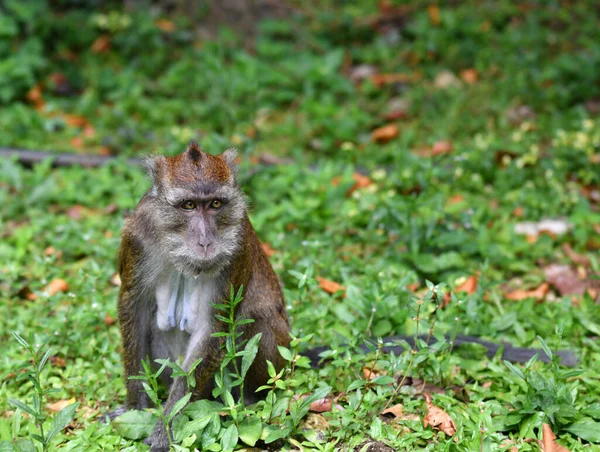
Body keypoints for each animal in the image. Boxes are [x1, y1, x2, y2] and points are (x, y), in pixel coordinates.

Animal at [115, 143, 290, 450]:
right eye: (188, 205)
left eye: (215, 204)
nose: (206, 241)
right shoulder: (137, 237)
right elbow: (133, 308)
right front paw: (135, 406)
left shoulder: (236, 246)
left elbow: (213, 328)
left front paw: (165, 432)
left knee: (255, 321)